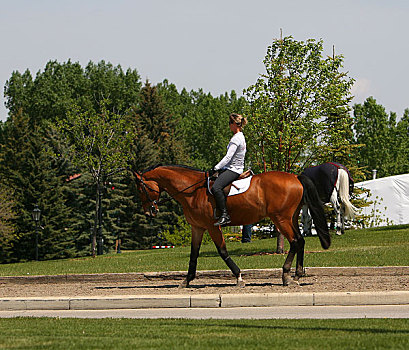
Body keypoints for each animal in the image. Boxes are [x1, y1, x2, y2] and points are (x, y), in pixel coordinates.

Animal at [132, 165, 330, 288]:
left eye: (141, 189)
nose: (149, 212)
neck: (192, 191)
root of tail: (296, 177)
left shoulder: (212, 227)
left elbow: (222, 251)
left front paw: (239, 277)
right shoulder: (197, 228)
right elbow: (194, 254)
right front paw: (186, 281)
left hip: (281, 219)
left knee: (295, 241)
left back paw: (286, 275)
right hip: (291, 218)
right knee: (301, 241)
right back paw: (297, 275)